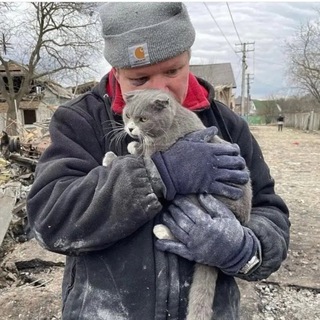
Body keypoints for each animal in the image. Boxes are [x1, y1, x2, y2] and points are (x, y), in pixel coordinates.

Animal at [103, 88, 252, 320]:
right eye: (128, 115)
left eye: (143, 119)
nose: (130, 128)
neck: (170, 123)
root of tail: (239, 220)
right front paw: (133, 145)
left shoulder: (157, 154)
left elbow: (142, 162)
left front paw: (111, 157)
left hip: (199, 197)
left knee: (188, 236)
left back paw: (163, 230)